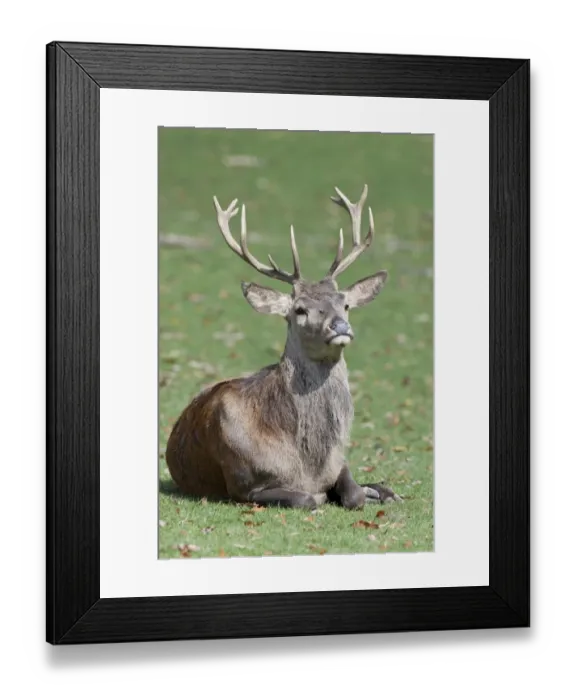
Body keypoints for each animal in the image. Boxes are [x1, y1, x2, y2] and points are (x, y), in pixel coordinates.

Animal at [165, 185, 402, 510]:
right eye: (299, 310)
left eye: (345, 304)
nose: (340, 326)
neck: (308, 462)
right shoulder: (243, 484)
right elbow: (307, 498)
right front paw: (322, 495)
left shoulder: (338, 462)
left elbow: (353, 494)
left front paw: (371, 491)